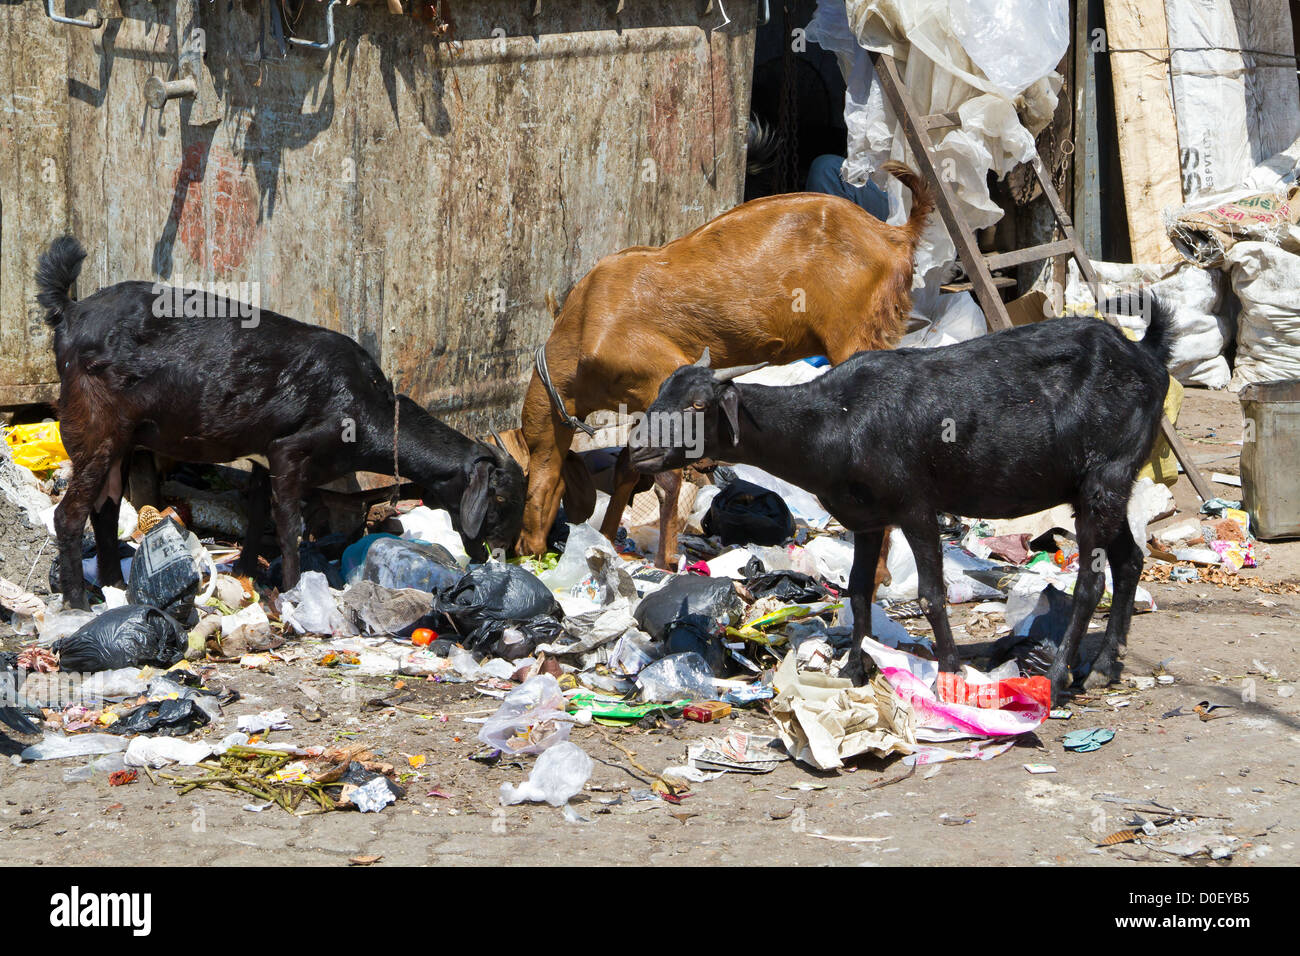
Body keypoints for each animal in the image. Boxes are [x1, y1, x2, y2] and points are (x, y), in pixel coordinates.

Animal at [36, 236, 525, 611]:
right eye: (499, 499)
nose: (505, 553)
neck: (368, 407)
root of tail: (70, 312)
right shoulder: (290, 451)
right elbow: (290, 527)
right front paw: (293, 589)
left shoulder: (262, 458)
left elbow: (257, 516)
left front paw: (248, 571)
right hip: (94, 428)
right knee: (69, 514)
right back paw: (78, 602)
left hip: (119, 440)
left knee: (105, 508)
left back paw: (114, 586)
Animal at [518, 161, 934, 574]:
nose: (525, 545)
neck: (582, 328)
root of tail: (894, 235)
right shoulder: (637, 401)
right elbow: (628, 464)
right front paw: (605, 539)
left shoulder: (661, 373)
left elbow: (666, 476)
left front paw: (666, 561)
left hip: (856, 334)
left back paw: (876, 572)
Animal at [628, 300, 1174, 703]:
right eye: (660, 393)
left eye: (699, 404)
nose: (638, 450)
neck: (837, 419)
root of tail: (1146, 355)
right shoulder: (866, 518)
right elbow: (858, 591)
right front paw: (853, 670)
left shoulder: (916, 505)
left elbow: (931, 594)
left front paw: (950, 674)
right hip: (1097, 488)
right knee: (1131, 560)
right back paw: (1104, 666)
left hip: (1105, 477)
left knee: (1092, 581)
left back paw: (1059, 677)